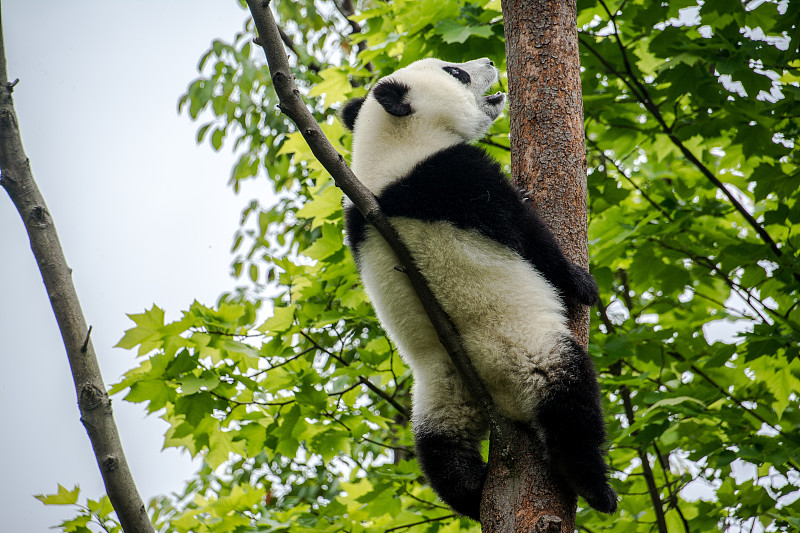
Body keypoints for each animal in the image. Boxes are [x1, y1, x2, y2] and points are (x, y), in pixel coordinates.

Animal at [340, 57, 616, 520]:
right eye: (456, 72)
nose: (487, 62)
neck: (389, 151)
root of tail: (491, 394)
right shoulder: (454, 178)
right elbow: (529, 237)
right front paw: (581, 283)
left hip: (438, 388)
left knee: (439, 451)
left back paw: (471, 493)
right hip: (522, 348)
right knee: (567, 390)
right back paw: (593, 485)